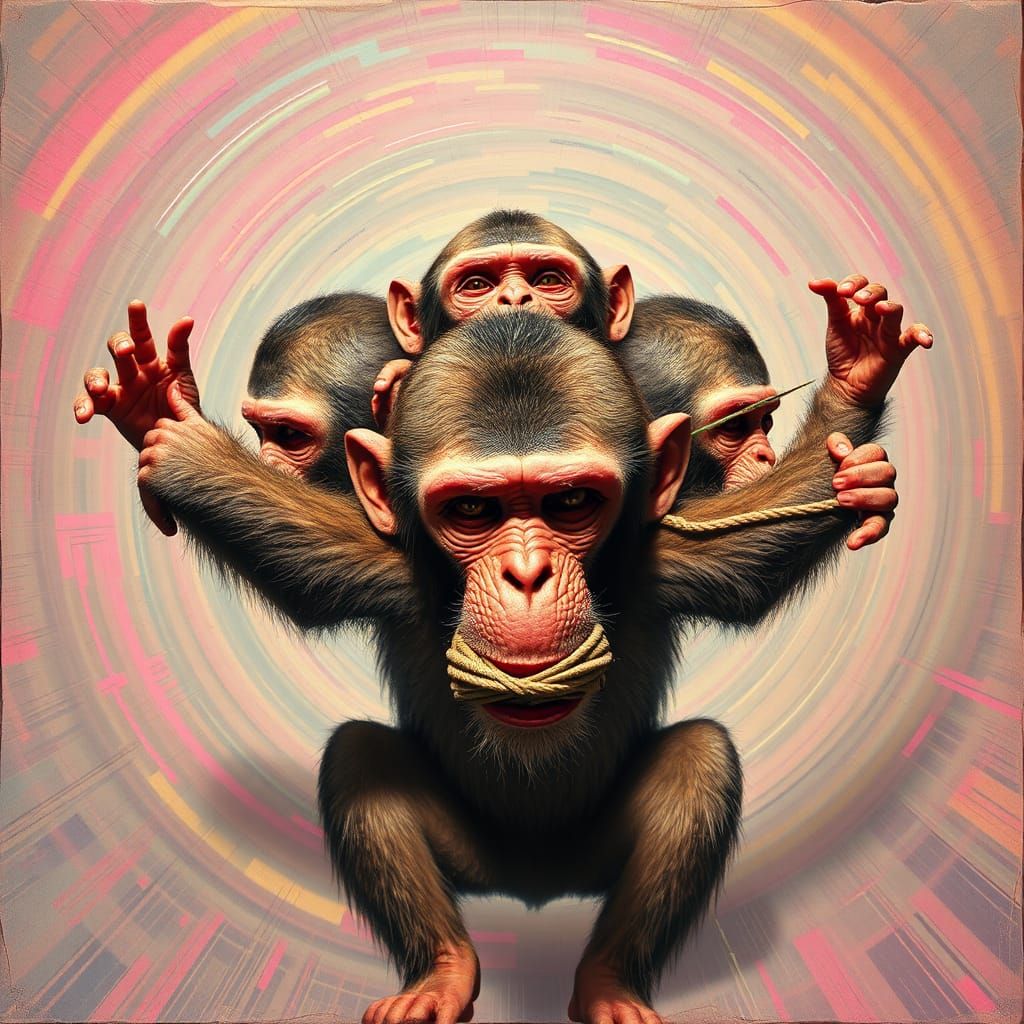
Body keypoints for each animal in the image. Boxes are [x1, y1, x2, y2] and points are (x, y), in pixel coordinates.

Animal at [130, 286, 929, 1024]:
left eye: (571, 502)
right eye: (472, 510)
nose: (525, 573)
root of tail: (531, 888)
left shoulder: (660, 559)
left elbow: (751, 558)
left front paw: (856, 388)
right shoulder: (385, 564)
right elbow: (294, 552)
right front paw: (170, 431)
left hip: (588, 854)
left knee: (699, 761)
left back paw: (608, 982)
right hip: (472, 857)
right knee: (361, 757)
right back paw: (444, 972)